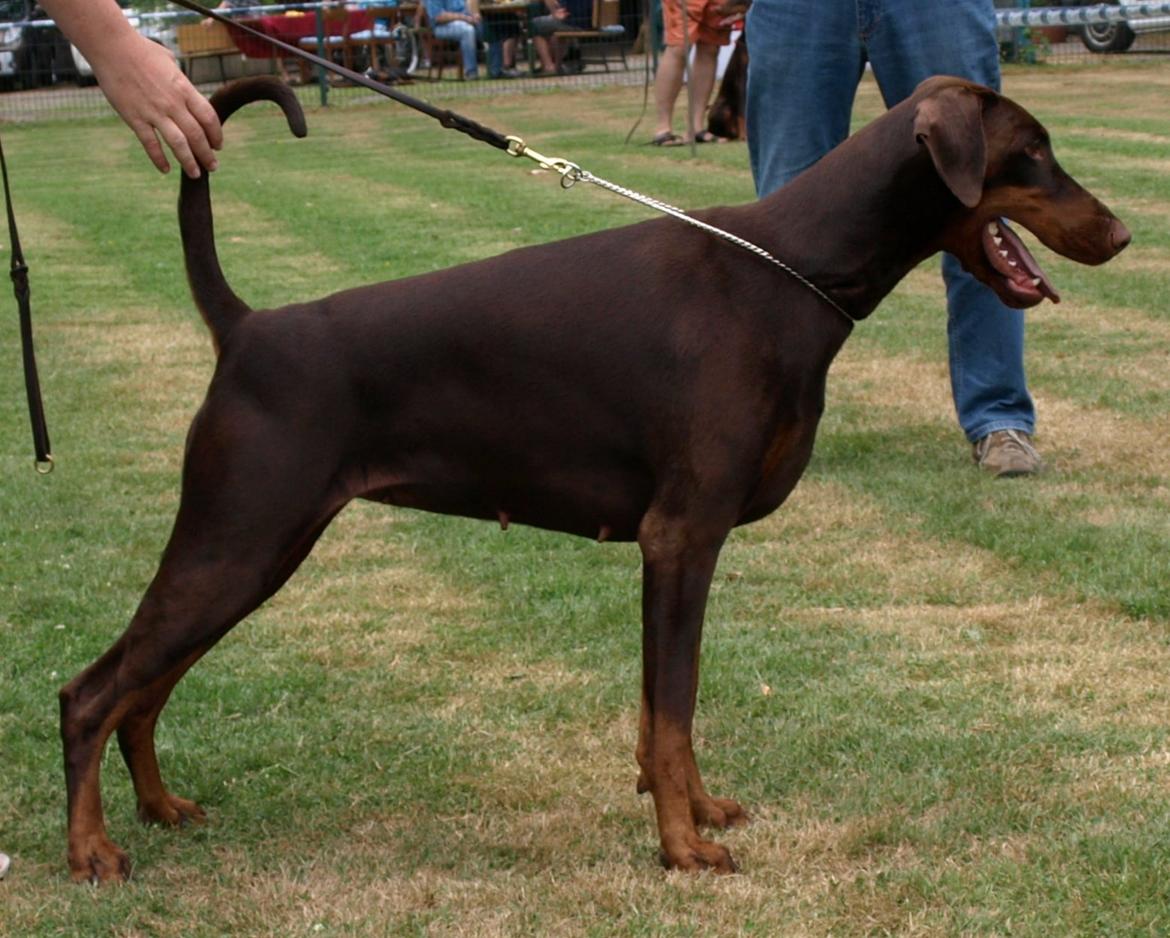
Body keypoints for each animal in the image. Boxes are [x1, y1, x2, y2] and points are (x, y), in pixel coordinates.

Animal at [59, 76, 1127, 879]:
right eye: (1034, 152)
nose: (1121, 235)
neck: (789, 268)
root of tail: (246, 328)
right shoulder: (681, 537)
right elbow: (672, 710)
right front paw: (683, 851)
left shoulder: (681, 550)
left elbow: (667, 714)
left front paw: (696, 813)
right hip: (237, 537)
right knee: (91, 693)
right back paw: (91, 852)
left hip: (259, 552)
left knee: (140, 691)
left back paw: (159, 809)